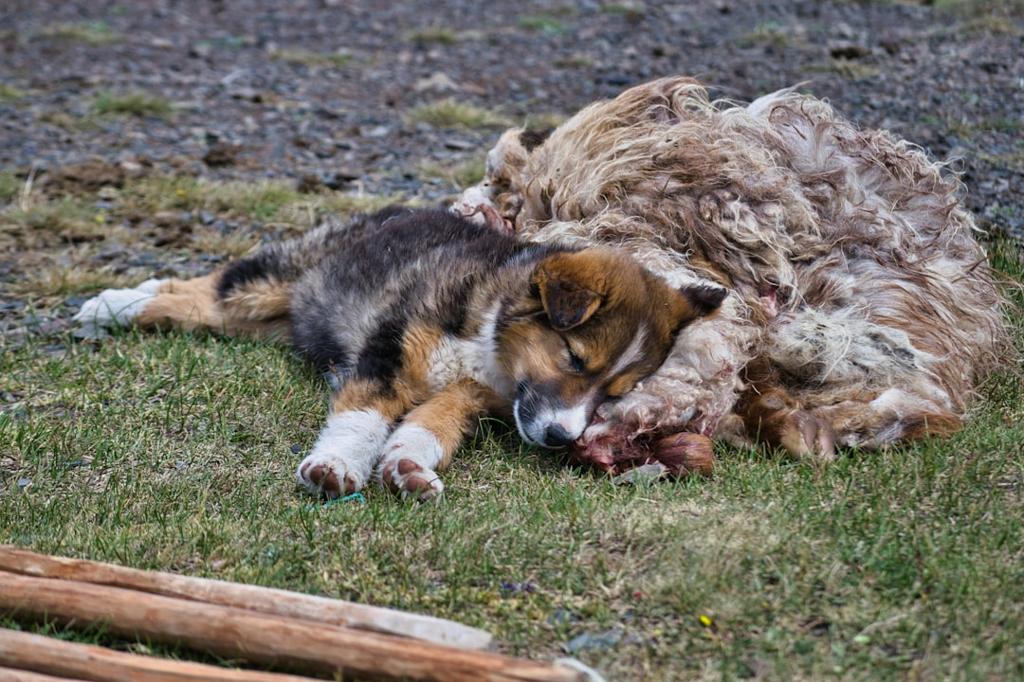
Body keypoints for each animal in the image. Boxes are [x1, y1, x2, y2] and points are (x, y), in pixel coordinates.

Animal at [75, 204, 724, 497]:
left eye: (614, 393)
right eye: (574, 359)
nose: (562, 438)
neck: (486, 338)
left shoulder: (473, 396)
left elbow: (431, 424)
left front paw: (407, 464)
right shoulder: (385, 356)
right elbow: (361, 420)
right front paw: (335, 467)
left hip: (276, 320)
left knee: (198, 307)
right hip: (277, 279)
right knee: (204, 289)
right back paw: (114, 303)